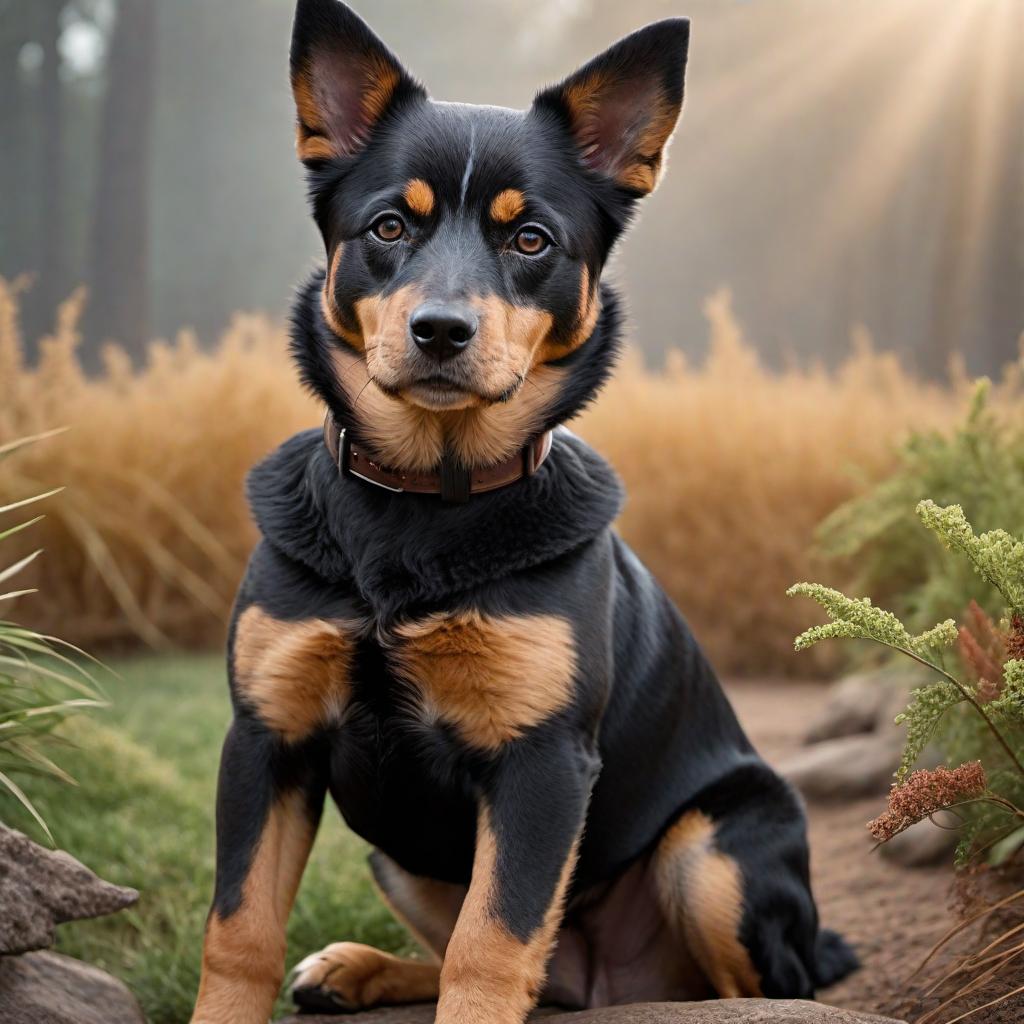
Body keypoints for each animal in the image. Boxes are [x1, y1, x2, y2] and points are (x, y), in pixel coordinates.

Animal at [190, 2, 856, 1024]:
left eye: (531, 241)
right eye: (389, 225)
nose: (440, 331)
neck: (424, 502)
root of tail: (612, 988)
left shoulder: (541, 765)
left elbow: (492, 946)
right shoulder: (268, 738)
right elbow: (240, 935)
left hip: (713, 851)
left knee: (768, 988)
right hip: (398, 859)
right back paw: (358, 967)